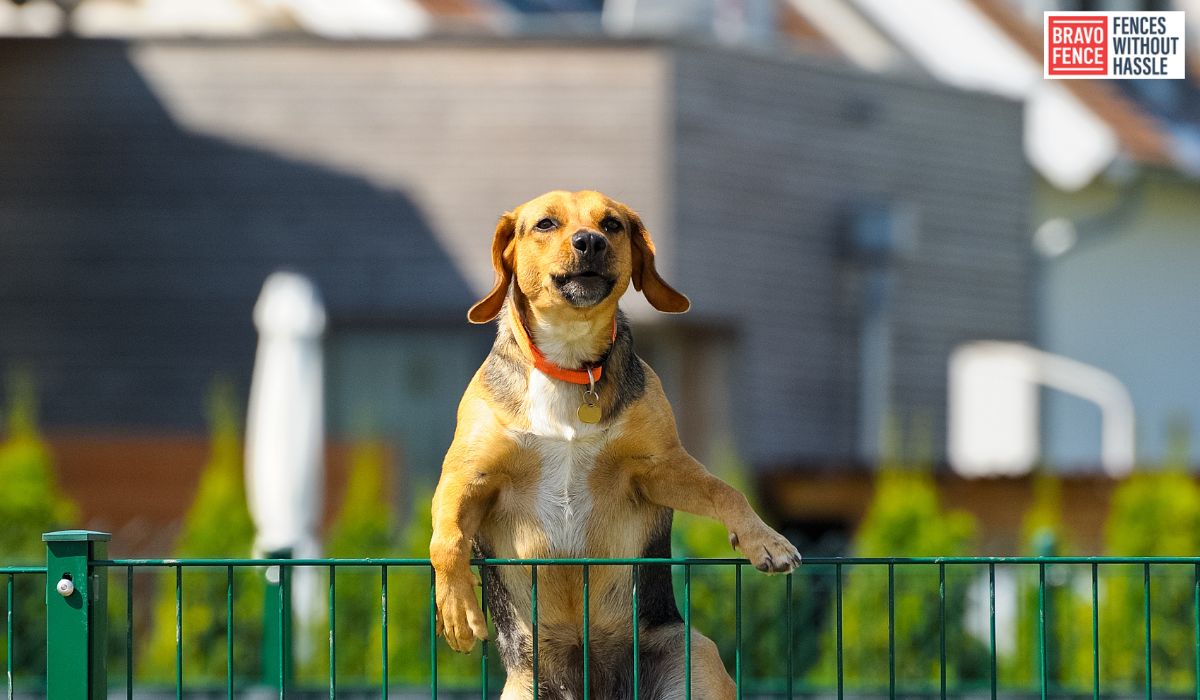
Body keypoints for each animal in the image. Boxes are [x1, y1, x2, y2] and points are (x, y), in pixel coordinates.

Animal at [432, 192, 796, 700]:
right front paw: (457, 609)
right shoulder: (466, 478)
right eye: (545, 224)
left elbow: (726, 491)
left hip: (695, 659)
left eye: (612, 224)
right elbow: (446, 540)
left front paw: (766, 540)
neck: (570, 362)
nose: (590, 241)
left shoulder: (661, 467)